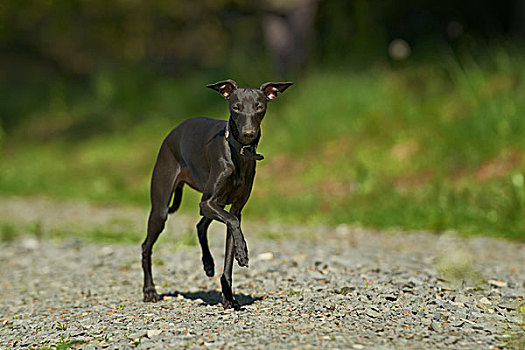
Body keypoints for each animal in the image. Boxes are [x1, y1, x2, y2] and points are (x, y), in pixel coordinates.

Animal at [141, 79, 292, 308]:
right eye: (236, 107)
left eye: (259, 107)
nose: (249, 134)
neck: (238, 152)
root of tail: (172, 133)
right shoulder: (209, 203)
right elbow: (234, 224)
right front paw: (243, 253)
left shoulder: (233, 209)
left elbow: (230, 250)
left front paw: (228, 296)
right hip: (162, 209)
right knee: (146, 247)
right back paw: (149, 290)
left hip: (216, 204)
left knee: (200, 225)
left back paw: (208, 263)